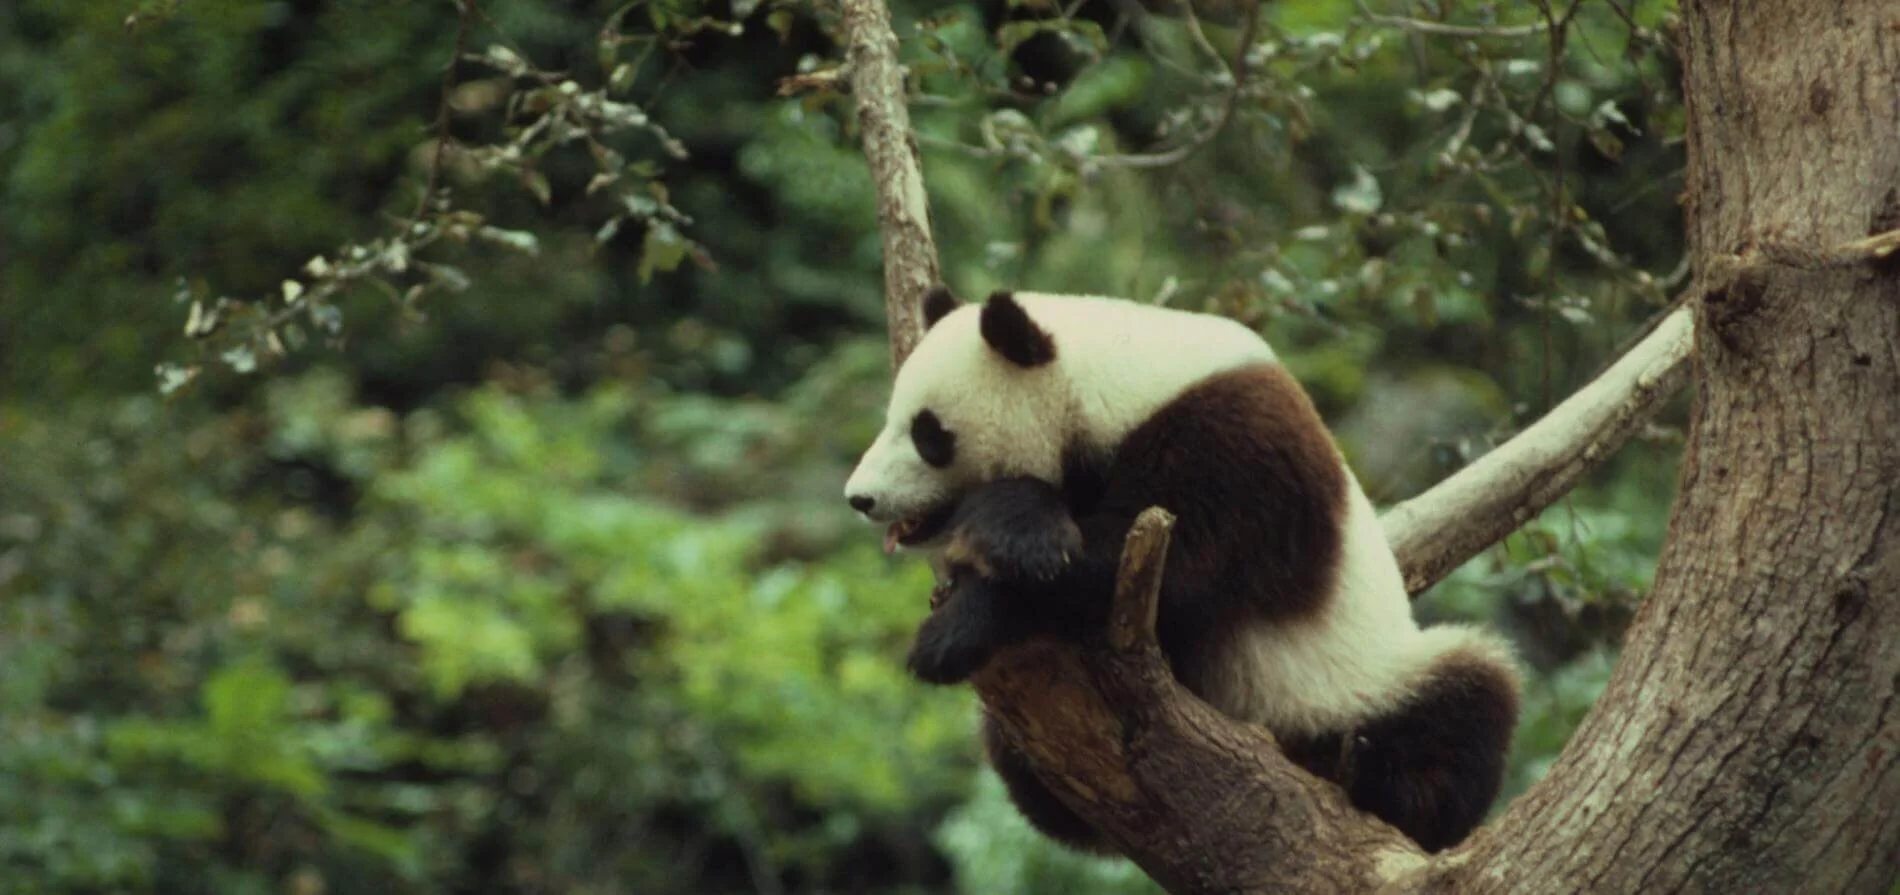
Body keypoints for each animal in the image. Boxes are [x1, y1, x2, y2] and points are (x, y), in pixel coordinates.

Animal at [844, 287, 1521, 854]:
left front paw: (961, 616)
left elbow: (1153, 570)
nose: (860, 498)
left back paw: (1386, 783)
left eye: (928, 433)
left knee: (1468, 694)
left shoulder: (1233, 446)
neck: (1110, 379)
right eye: (891, 419)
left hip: (1355, 681)